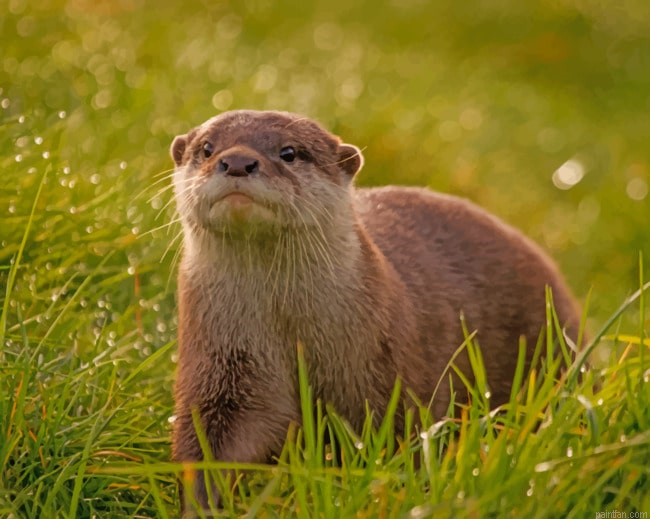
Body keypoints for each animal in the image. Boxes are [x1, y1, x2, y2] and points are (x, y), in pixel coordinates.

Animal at [169, 110, 581, 512]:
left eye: (289, 152)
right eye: (207, 148)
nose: (237, 161)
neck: (289, 329)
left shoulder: (387, 375)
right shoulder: (222, 367)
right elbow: (211, 442)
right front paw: (202, 504)